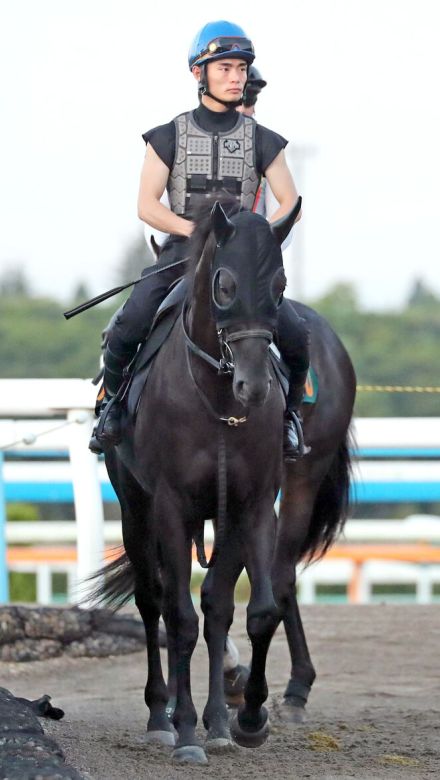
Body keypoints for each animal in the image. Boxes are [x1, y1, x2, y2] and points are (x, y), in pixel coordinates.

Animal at [94, 200, 356, 760]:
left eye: (280, 284)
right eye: (225, 284)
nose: (253, 386)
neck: (214, 399)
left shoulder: (248, 503)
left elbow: (245, 609)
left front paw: (242, 717)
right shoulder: (171, 505)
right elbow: (180, 615)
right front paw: (186, 728)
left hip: (300, 480)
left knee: (267, 583)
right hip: (134, 504)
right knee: (152, 600)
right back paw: (162, 713)